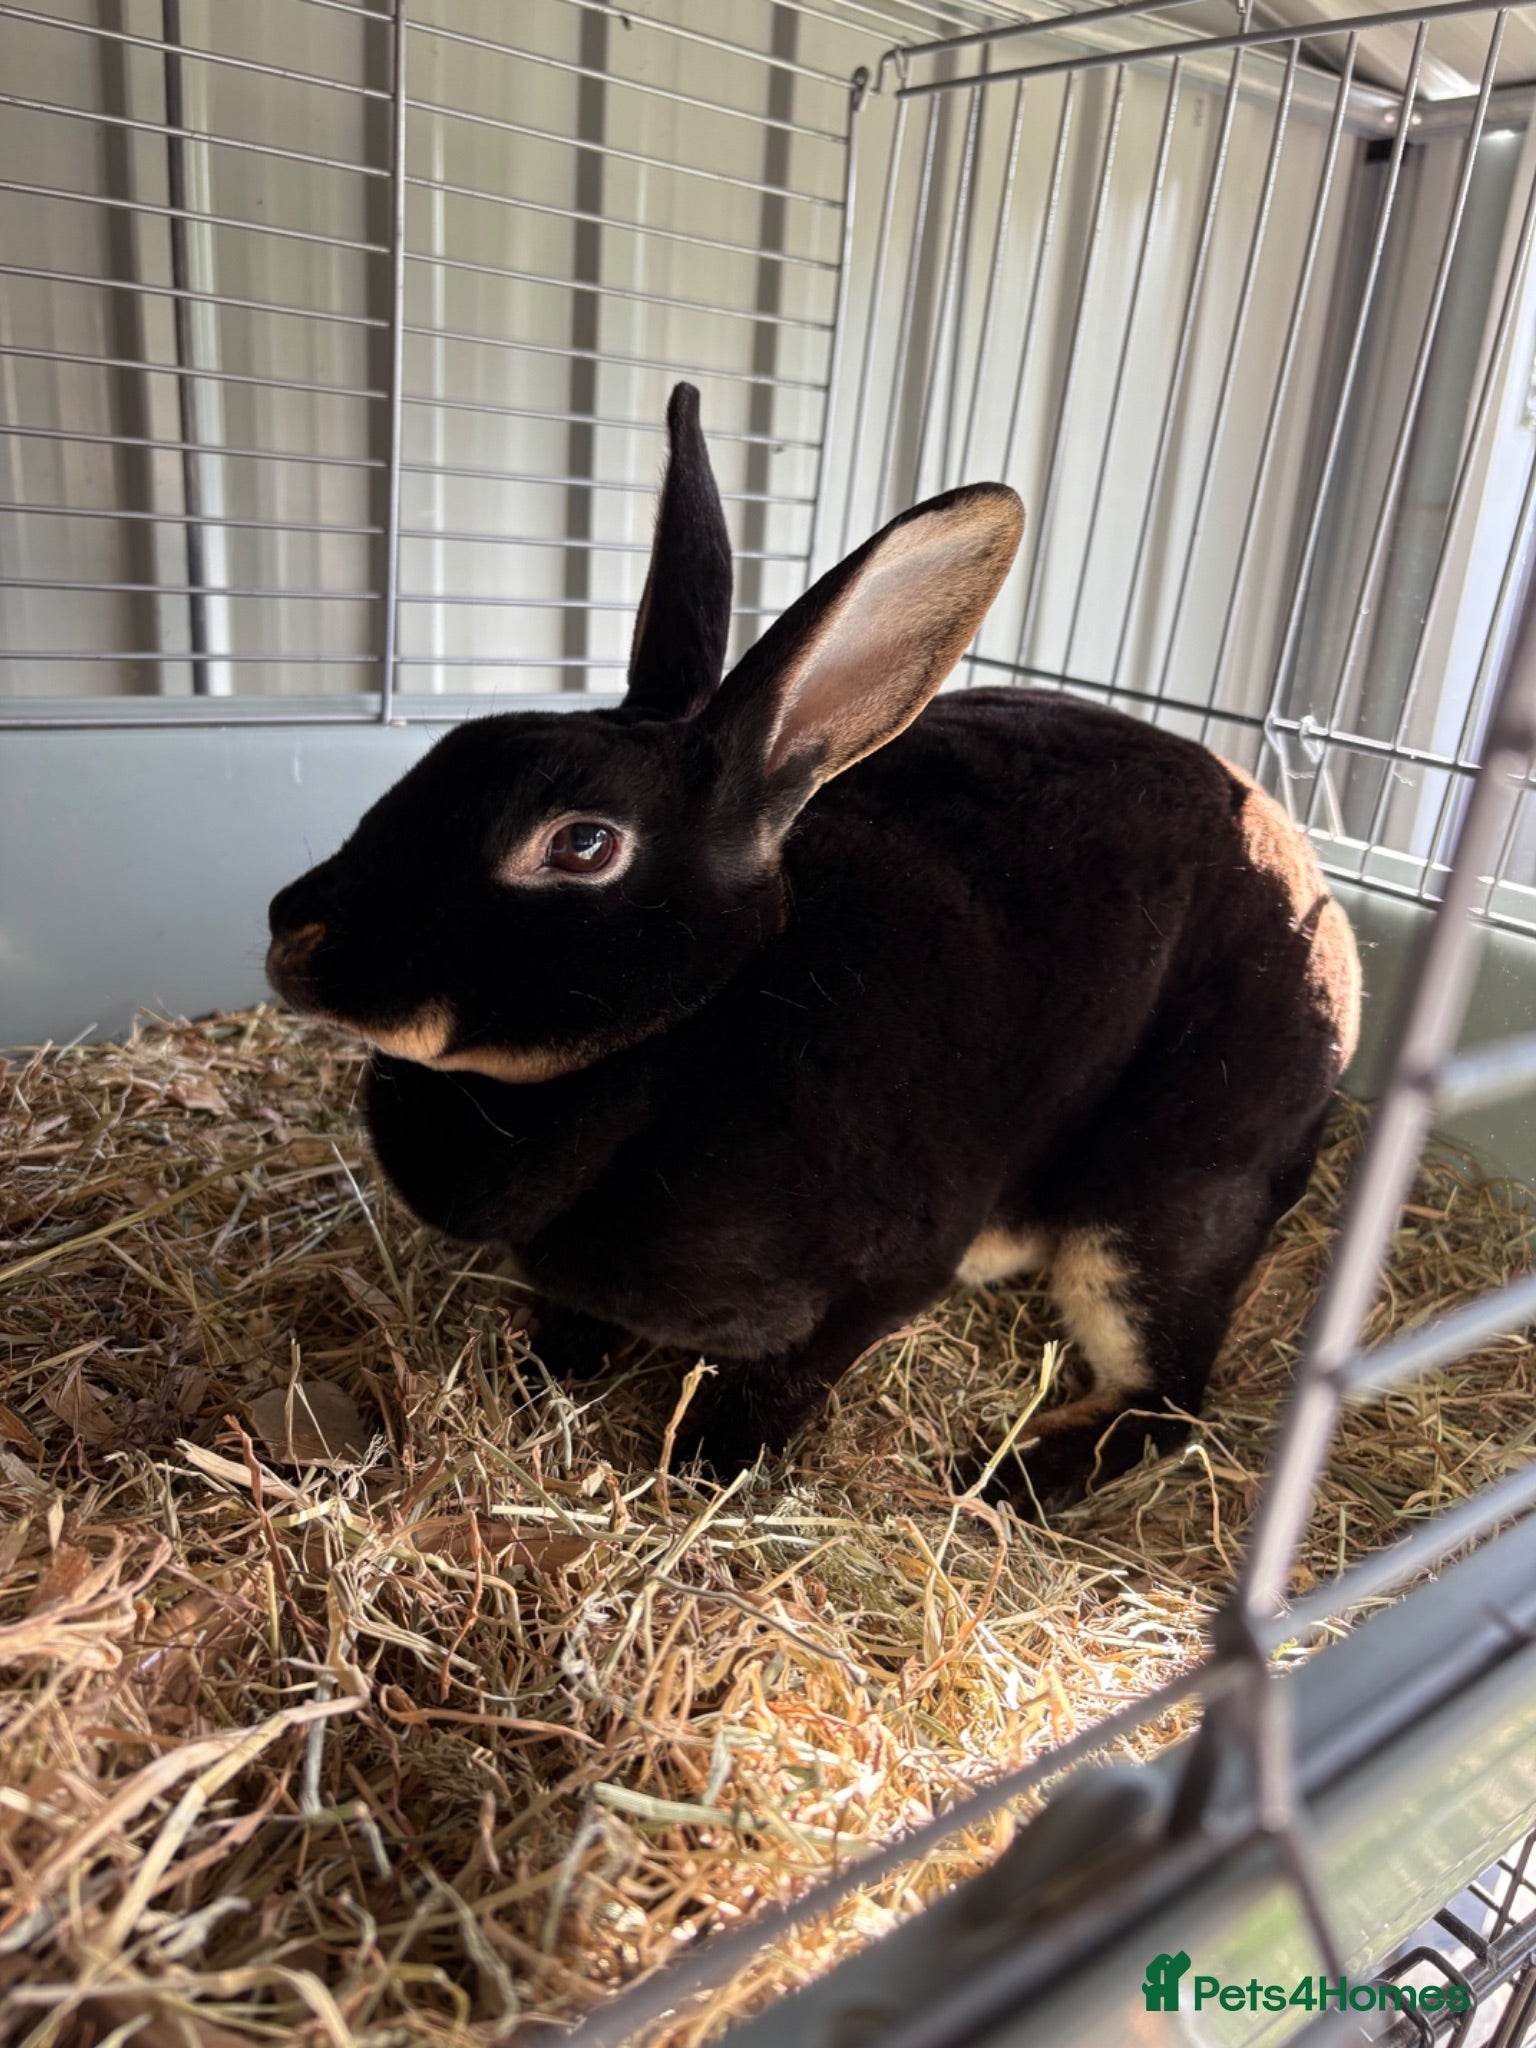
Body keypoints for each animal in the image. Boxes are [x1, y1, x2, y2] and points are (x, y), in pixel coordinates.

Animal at [267, 381, 1360, 1504]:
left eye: (581, 844)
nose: (292, 933)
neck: (694, 1026)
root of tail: (1326, 908)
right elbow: (568, 1326)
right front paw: (537, 1381)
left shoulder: (883, 1283)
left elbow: (781, 1383)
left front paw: (708, 1469)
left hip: (1157, 1206)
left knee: (1168, 1394)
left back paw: (1002, 1476)